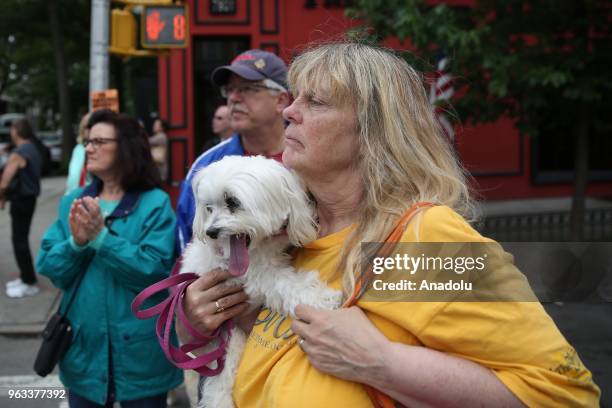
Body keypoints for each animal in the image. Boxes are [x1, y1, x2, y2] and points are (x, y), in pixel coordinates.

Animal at [180, 155, 344, 408]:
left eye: (233, 201)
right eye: (209, 208)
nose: (211, 232)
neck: (260, 246)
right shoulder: (250, 274)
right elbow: (282, 282)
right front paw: (321, 298)